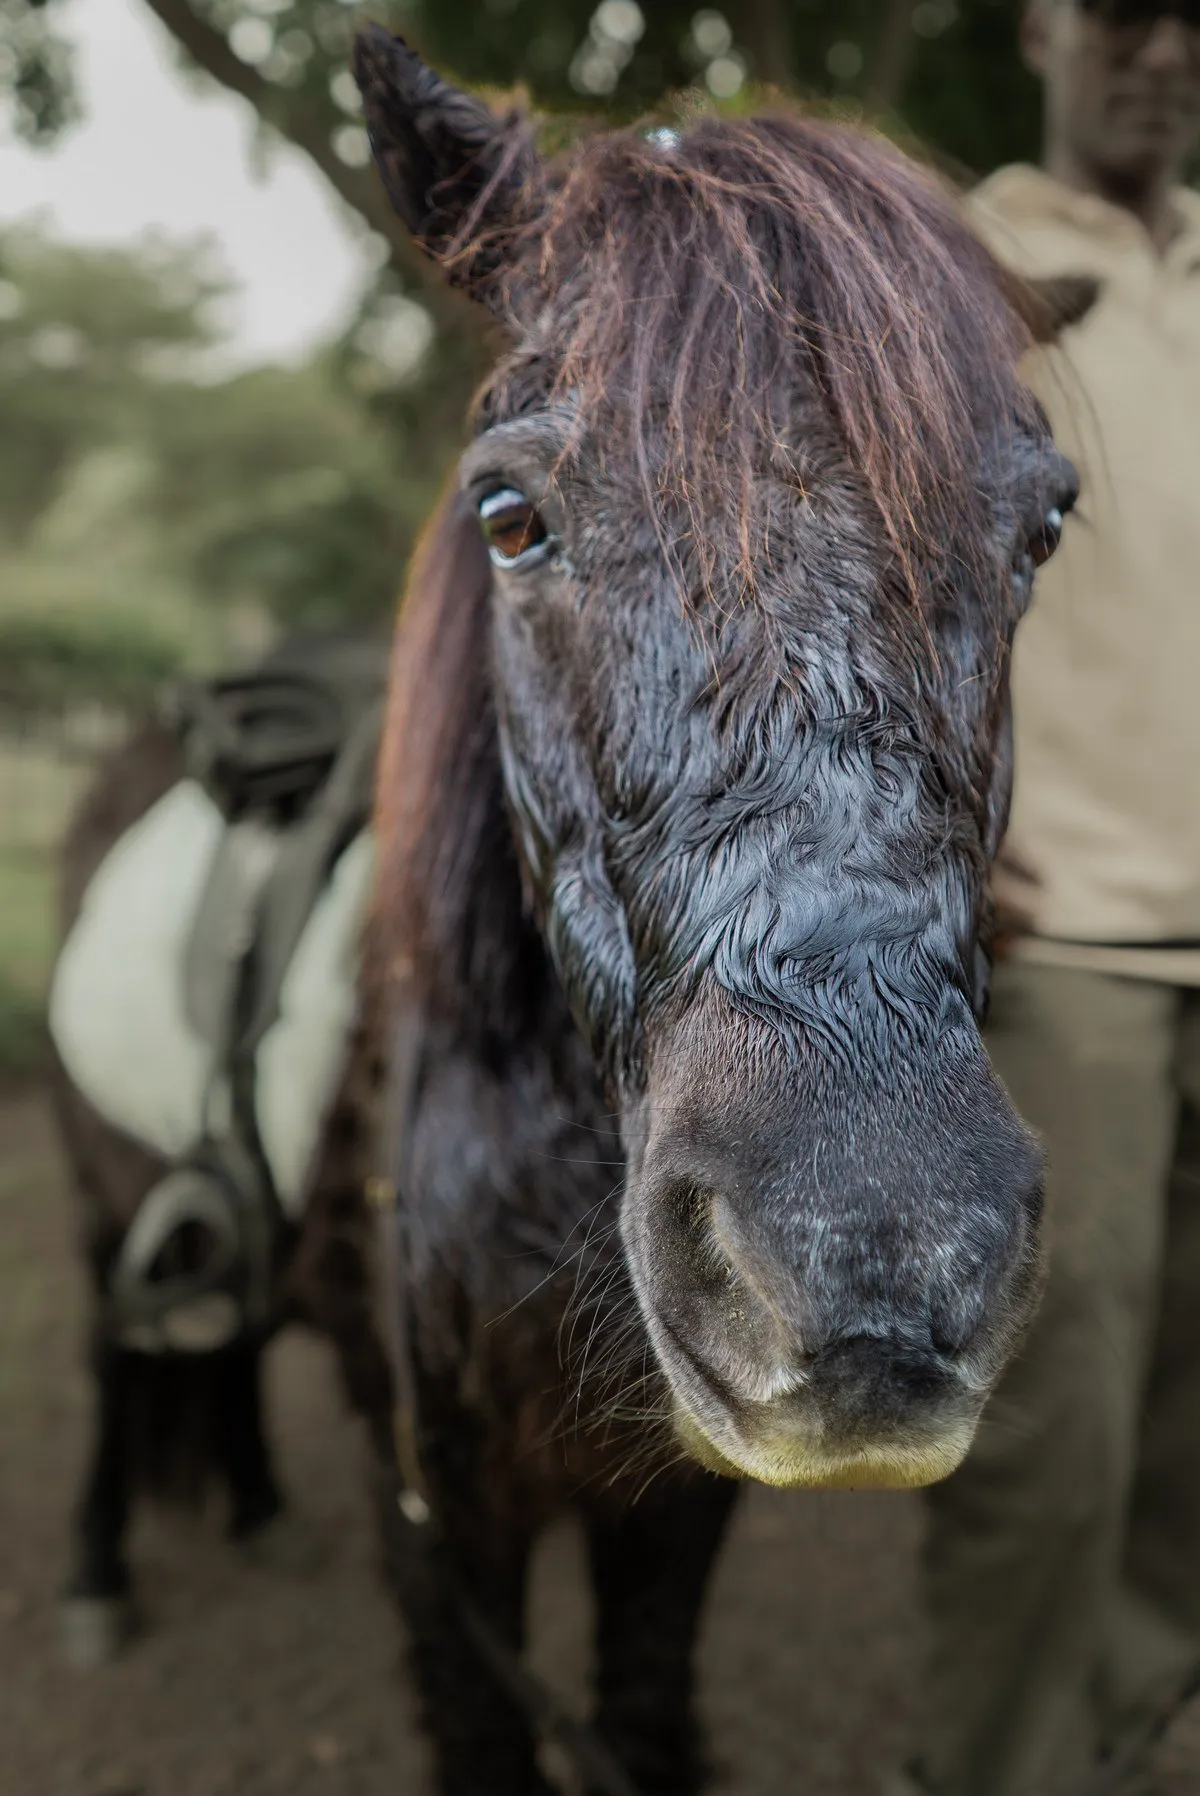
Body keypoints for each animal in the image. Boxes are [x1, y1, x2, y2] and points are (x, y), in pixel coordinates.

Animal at [291, 28, 1088, 1796]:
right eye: (509, 516)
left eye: (1044, 528)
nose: (877, 1263)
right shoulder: (431, 1527)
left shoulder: (666, 1514)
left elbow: (644, 1706)